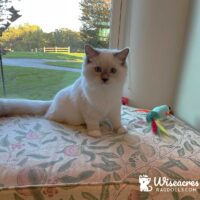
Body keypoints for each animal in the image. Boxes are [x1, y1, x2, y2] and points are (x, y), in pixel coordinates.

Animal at [0, 44, 129, 137]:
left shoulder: (114, 109)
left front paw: (121, 130)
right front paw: (96, 133)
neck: (105, 91)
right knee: (48, 117)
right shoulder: (90, 111)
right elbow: (93, 124)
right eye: (98, 69)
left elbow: (117, 122)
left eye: (113, 71)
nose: (105, 79)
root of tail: (52, 101)